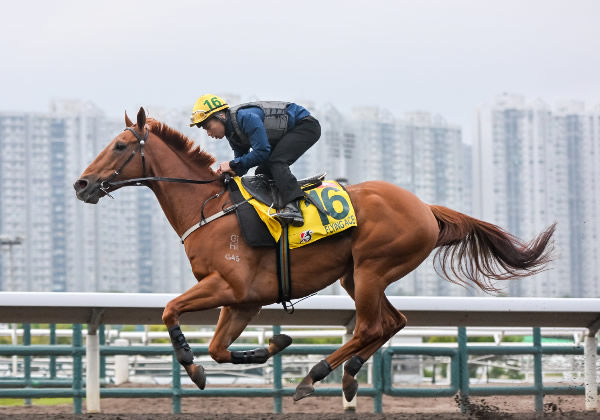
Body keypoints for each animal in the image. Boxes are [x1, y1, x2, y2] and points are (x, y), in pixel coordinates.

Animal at [72, 106, 556, 402]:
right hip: (356, 275)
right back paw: (348, 373)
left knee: (370, 326)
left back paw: (315, 375)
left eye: (119, 146)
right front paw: (273, 345)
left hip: (372, 269)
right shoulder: (244, 301)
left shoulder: (226, 287)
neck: (208, 207)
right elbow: (220, 349)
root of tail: (425, 208)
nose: (81, 184)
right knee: (392, 322)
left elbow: (171, 311)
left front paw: (192, 367)